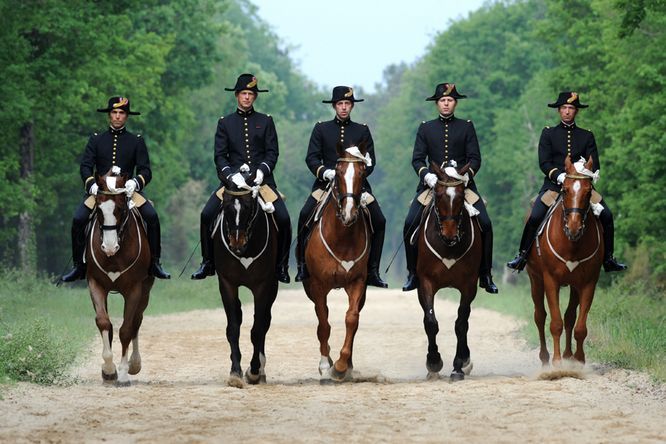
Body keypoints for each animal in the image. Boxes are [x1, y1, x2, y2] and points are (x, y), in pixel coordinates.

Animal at [86, 169, 153, 386]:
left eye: (121, 209)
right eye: (98, 209)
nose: (109, 247)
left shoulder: (135, 288)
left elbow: (126, 329)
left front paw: (123, 373)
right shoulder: (95, 284)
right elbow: (103, 322)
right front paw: (108, 369)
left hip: (146, 291)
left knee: (137, 322)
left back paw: (135, 364)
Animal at [212, 170, 279, 387]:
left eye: (249, 206)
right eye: (225, 206)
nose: (236, 244)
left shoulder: (263, 285)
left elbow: (257, 329)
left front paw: (254, 370)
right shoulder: (227, 283)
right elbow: (233, 327)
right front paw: (235, 372)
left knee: (265, 321)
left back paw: (260, 370)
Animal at [302, 144, 371, 381]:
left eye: (362, 173)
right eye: (339, 173)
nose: (349, 213)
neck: (343, 236)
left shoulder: (357, 282)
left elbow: (352, 319)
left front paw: (341, 366)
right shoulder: (318, 285)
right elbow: (323, 323)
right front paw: (326, 366)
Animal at [415, 161, 481, 380]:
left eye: (461, 196)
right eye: (438, 195)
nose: (450, 234)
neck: (448, 247)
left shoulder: (469, 285)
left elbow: (461, 323)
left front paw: (458, 366)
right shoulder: (425, 282)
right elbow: (430, 321)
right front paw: (434, 362)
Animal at [527, 156, 603, 367]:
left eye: (588, 191)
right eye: (565, 190)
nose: (574, 227)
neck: (572, 243)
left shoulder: (588, 283)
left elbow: (579, 326)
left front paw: (578, 360)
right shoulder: (550, 280)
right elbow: (555, 323)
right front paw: (557, 362)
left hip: (574, 285)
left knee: (570, 316)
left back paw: (569, 354)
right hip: (535, 280)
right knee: (540, 316)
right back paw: (545, 358)